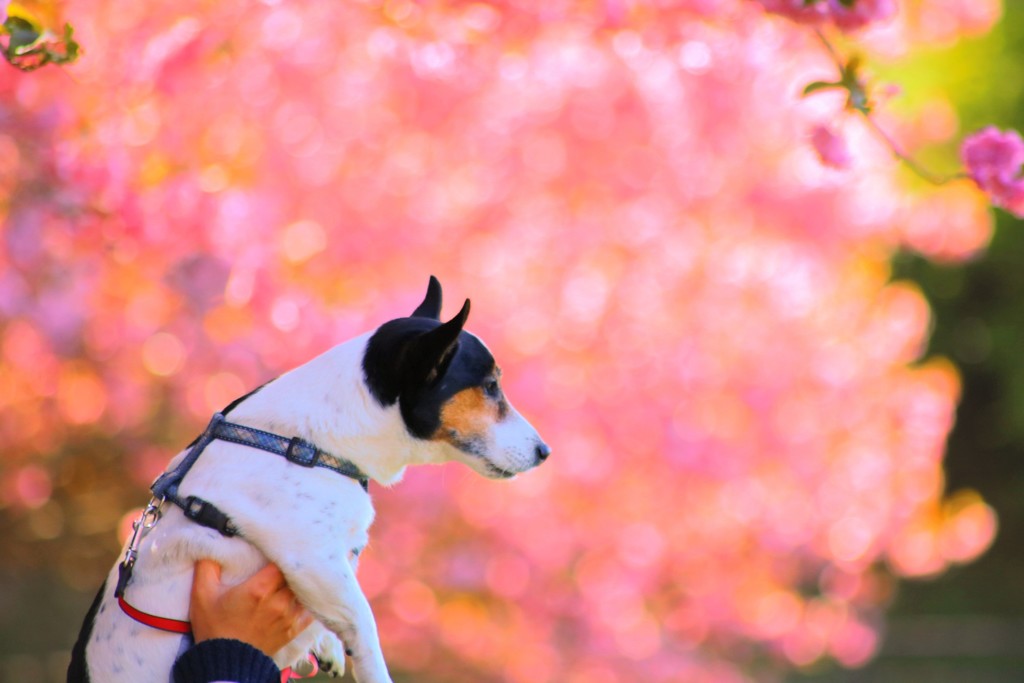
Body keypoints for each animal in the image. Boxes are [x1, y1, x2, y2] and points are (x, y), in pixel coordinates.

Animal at [69, 278, 552, 683]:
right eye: (490, 386)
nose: (545, 452)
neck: (313, 443)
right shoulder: (315, 561)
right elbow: (366, 627)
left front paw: (326, 645)